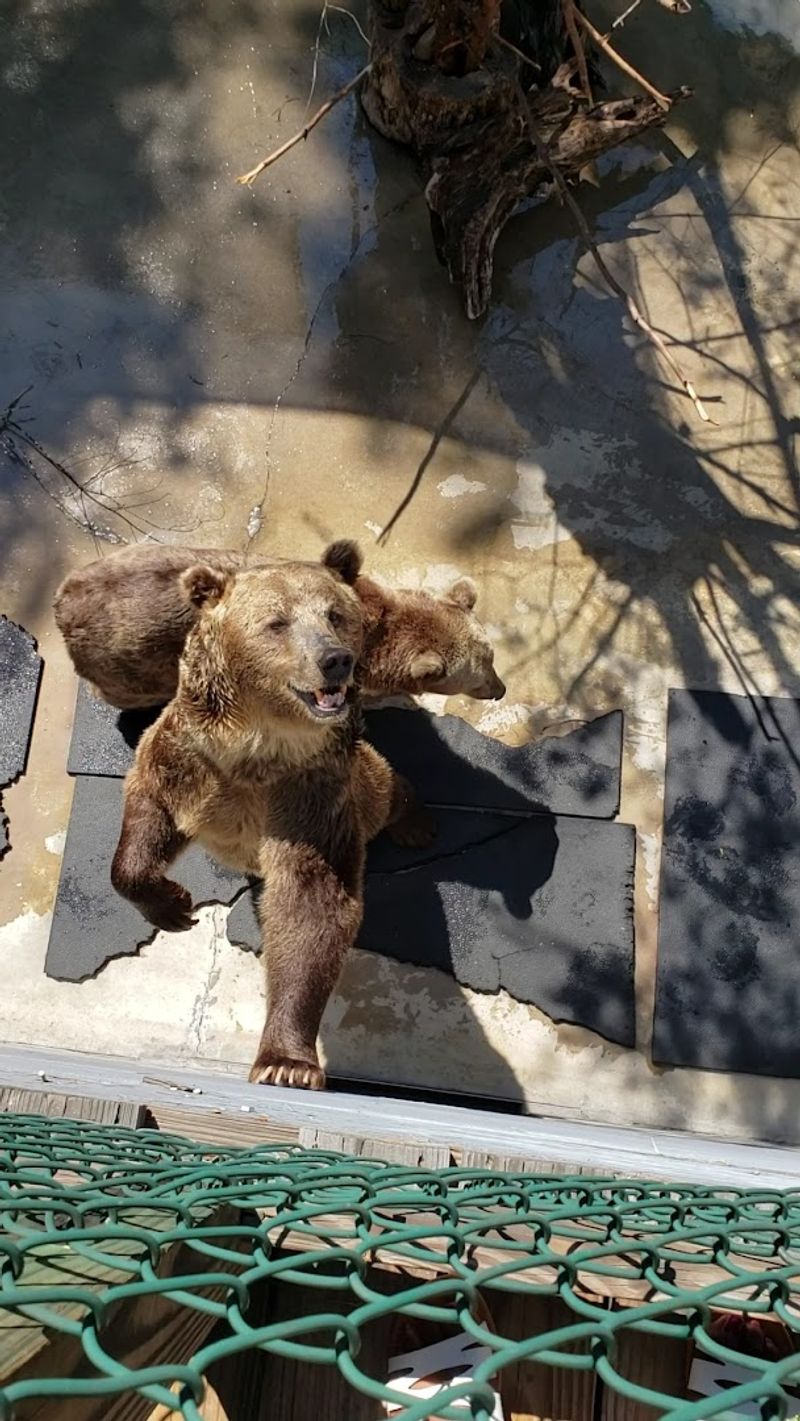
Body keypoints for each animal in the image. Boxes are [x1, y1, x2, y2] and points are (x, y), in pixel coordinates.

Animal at [110, 542, 434, 1090]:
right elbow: (149, 809)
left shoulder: (308, 794)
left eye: (335, 614)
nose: (335, 660)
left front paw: (287, 1062)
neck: (254, 747)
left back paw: (416, 824)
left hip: (362, 787)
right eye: (276, 623)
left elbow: (311, 902)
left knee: (387, 787)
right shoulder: (187, 758)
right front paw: (174, 906)